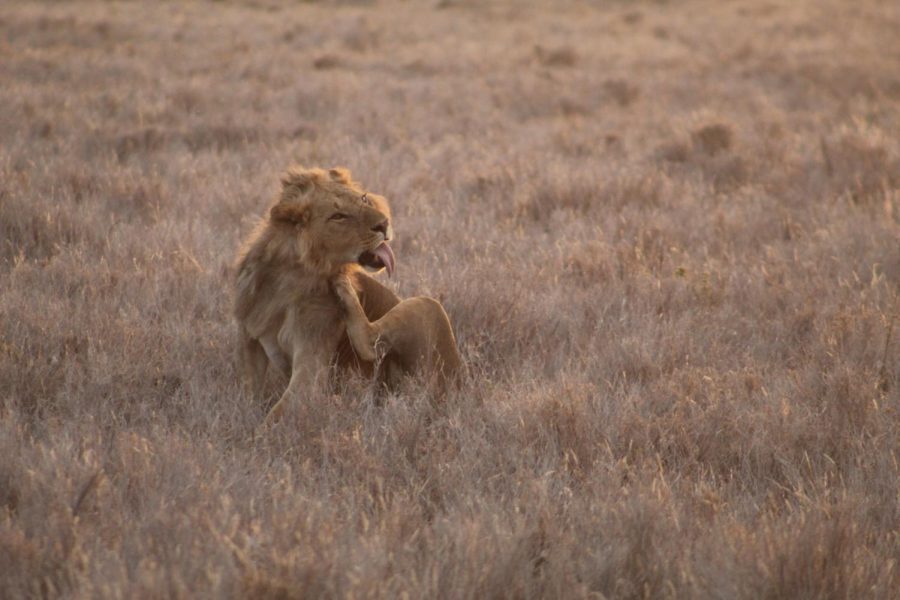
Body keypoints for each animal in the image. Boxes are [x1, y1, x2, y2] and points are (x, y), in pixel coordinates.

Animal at [236, 166, 460, 424]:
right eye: (338, 216)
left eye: (363, 199)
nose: (384, 223)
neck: (285, 278)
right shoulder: (250, 343)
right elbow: (248, 396)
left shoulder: (312, 362)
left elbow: (276, 414)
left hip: (427, 307)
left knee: (369, 342)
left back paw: (343, 286)